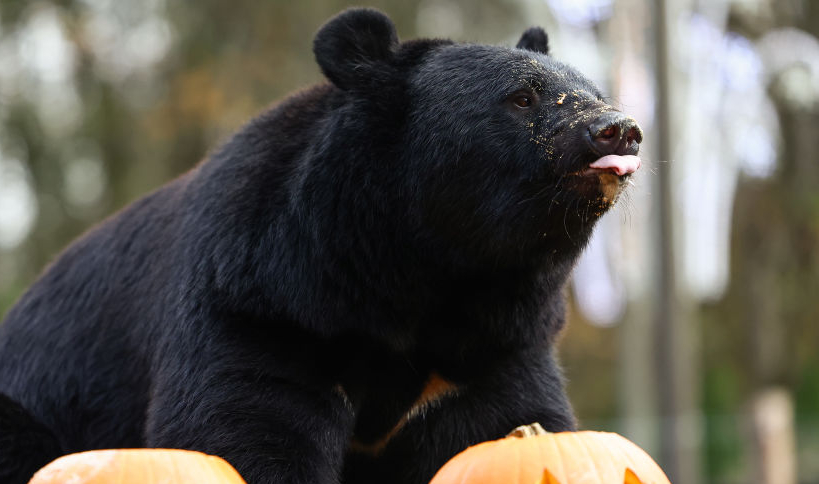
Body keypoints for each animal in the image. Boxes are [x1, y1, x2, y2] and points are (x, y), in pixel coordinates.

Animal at [0, 7, 640, 484]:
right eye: (522, 98)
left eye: (590, 90)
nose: (619, 129)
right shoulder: (261, 304)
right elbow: (246, 427)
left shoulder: (495, 346)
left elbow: (509, 423)